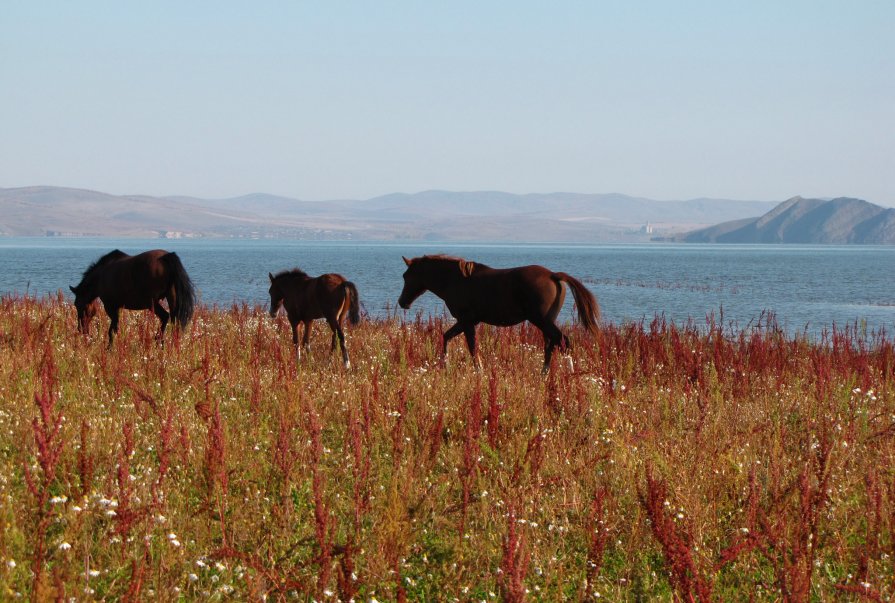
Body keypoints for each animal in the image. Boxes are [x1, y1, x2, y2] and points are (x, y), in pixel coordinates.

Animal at [396, 254, 600, 370]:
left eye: (406, 276)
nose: (402, 302)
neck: (455, 281)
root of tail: (553, 275)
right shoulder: (466, 322)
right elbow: (446, 337)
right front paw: (443, 365)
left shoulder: (466, 321)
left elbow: (472, 347)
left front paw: (478, 371)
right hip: (546, 321)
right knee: (551, 344)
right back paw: (545, 374)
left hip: (541, 320)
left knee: (563, 341)